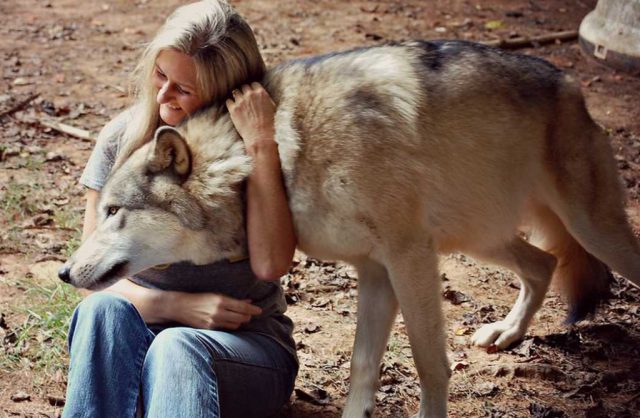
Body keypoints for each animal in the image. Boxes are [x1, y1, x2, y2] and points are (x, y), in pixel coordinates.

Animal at [60, 40, 640, 418]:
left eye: (114, 211)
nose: (64, 273)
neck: (275, 159)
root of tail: (570, 83)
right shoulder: (376, 270)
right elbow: (363, 367)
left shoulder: (408, 256)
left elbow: (430, 364)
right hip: (480, 237)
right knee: (545, 262)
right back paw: (505, 333)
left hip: (591, 230)